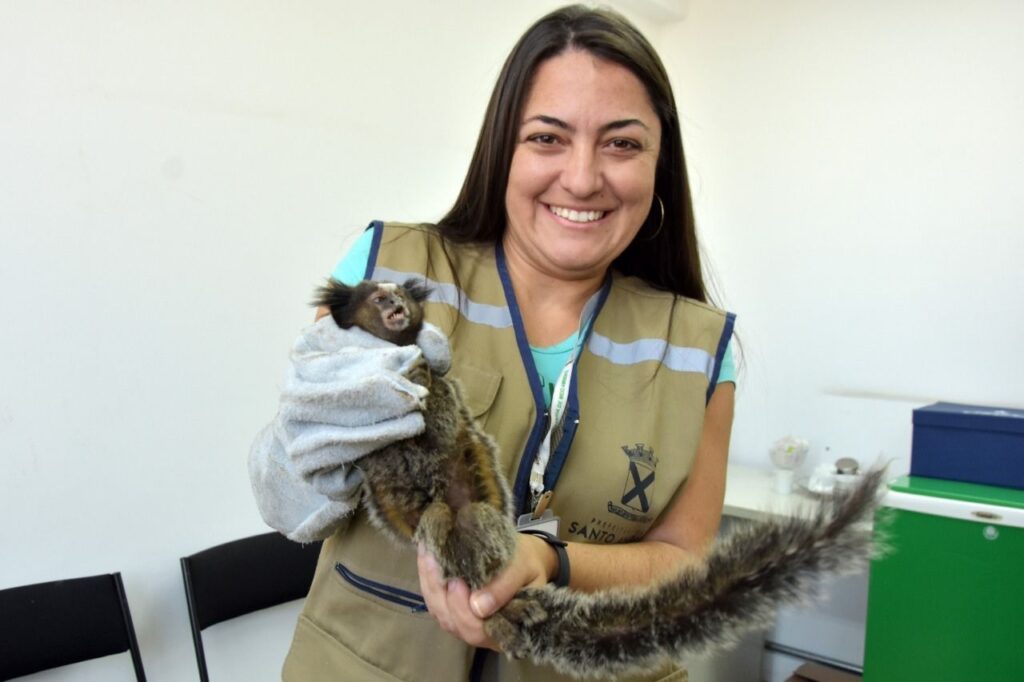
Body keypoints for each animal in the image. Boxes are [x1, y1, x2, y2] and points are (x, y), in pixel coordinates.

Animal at [315, 278, 884, 679]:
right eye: (376, 296)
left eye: (398, 298)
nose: (394, 303)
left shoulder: (444, 392)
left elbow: (440, 420)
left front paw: (415, 378)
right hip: (437, 535)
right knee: (434, 521)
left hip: (487, 531)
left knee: (475, 521)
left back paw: (506, 608)